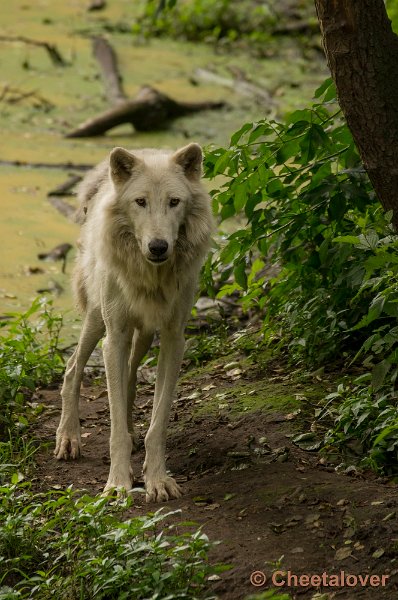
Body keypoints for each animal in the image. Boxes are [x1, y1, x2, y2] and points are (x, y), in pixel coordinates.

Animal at [55, 144, 215, 502]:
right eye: (140, 201)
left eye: (174, 202)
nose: (158, 247)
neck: (151, 276)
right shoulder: (114, 336)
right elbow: (114, 428)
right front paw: (117, 483)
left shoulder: (173, 339)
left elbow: (158, 422)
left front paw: (156, 479)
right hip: (98, 320)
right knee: (72, 368)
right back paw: (69, 437)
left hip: (142, 334)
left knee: (128, 376)